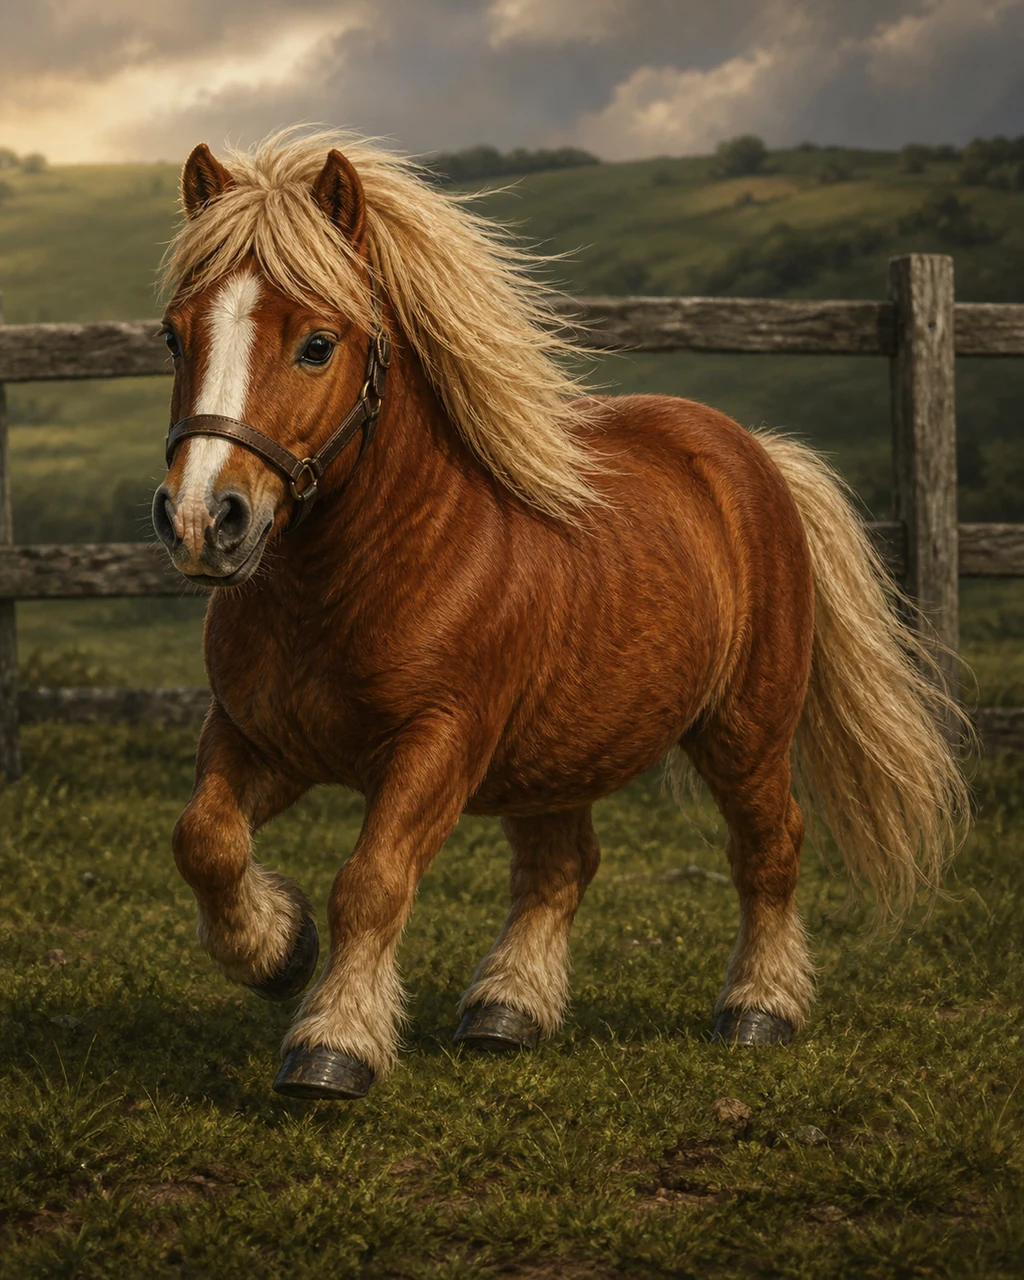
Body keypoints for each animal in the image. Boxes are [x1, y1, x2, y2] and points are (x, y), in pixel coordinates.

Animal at [152, 129, 968, 1101]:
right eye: (174, 336)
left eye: (317, 344)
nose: (202, 520)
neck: (358, 578)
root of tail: (757, 456)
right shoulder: (257, 735)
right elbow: (204, 839)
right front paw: (278, 950)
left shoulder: (437, 746)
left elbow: (373, 880)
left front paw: (333, 1045)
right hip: (556, 751)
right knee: (560, 866)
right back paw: (506, 1010)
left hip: (745, 732)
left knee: (769, 849)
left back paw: (759, 1009)